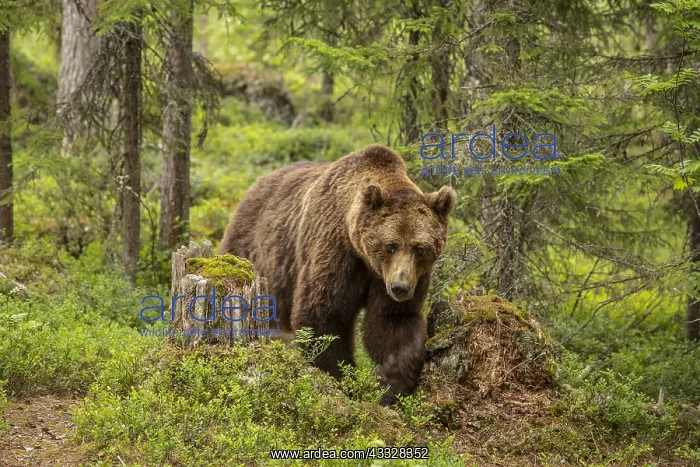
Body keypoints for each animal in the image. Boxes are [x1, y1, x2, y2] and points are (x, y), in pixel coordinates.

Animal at [218, 144, 456, 404]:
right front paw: (342, 378)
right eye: (390, 246)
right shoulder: (336, 251)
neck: (365, 257)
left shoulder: (399, 278)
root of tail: (255, 185)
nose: (400, 288)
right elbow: (323, 316)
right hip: (252, 253)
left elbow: (392, 322)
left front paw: (391, 385)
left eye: (419, 248)